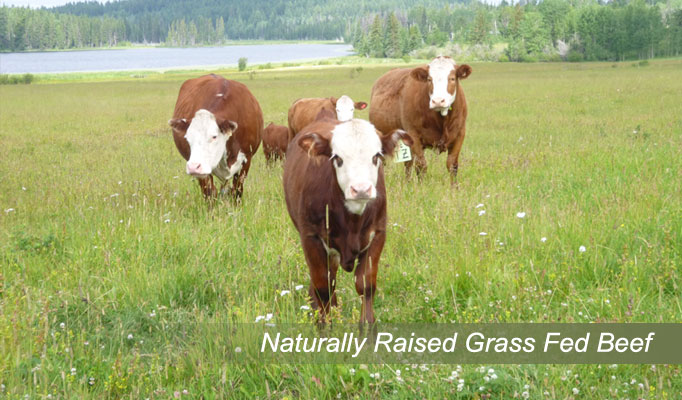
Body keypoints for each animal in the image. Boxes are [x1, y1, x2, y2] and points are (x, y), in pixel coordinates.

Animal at [280, 115, 410, 322]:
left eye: (376, 156)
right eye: (337, 158)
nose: (361, 189)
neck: (352, 223)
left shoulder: (378, 234)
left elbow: (365, 285)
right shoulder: (311, 238)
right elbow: (323, 287)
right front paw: (324, 325)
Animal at [370, 55, 470, 183]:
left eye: (452, 78)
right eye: (429, 79)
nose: (438, 101)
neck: (442, 121)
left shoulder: (460, 133)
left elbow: (452, 165)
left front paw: (455, 187)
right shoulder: (414, 135)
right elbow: (421, 165)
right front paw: (422, 186)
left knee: (408, 163)